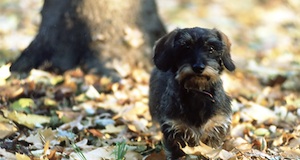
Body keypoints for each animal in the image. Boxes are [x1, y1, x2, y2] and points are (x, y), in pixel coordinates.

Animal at [149, 26, 236, 159]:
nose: (198, 67)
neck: (198, 92)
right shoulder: (175, 130)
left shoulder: (216, 128)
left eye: (211, 49)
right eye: (186, 47)